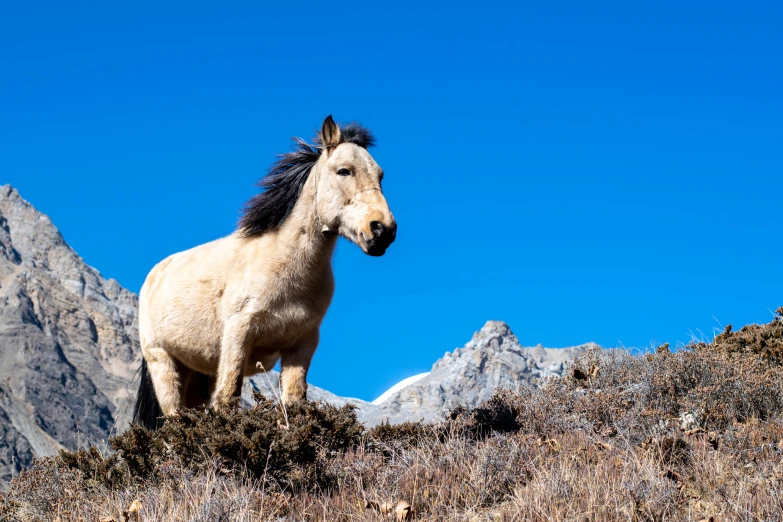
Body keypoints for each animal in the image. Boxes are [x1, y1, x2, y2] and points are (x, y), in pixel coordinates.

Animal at [132, 117, 398, 426]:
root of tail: (155, 275)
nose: (382, 230)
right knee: (173, 418)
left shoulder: (302, 344)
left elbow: (294, 400)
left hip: (197, 373)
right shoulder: (238, 334)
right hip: (163, 363)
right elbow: (228, 398)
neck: (283, 266)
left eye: (380, 175)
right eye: (344, 170)